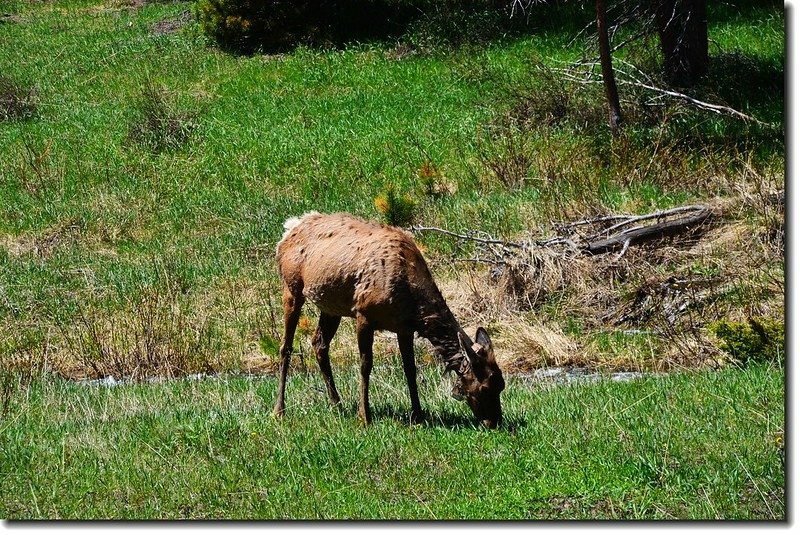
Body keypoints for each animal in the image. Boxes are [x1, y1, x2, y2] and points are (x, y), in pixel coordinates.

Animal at [272, 211, 504, 430]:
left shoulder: (404, 328)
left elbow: (410, 369)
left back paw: (337, 404)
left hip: (331, 306)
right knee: (286, 347)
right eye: (485, 387)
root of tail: (289, 229)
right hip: (291, 287)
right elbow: (365, 365)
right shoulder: (364, 314)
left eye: (501, 385)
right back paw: (279, 410)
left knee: (319, 343)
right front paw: (364, 416)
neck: (411, 300)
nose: (494, 422)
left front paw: (418, 415)